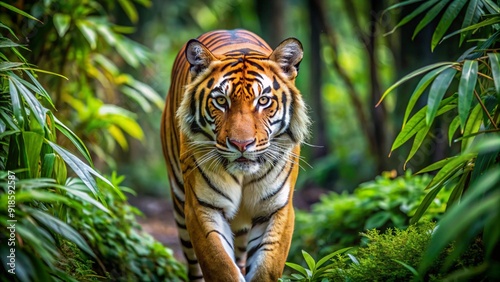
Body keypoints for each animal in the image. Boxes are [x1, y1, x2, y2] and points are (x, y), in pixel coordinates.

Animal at [161, 29, 308, 280]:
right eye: (221, 101)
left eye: (263, 100)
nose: (242, 144)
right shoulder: (202, 207)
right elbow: (220, 265)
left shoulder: (276, 209)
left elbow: (266, 268)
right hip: (180, 205)